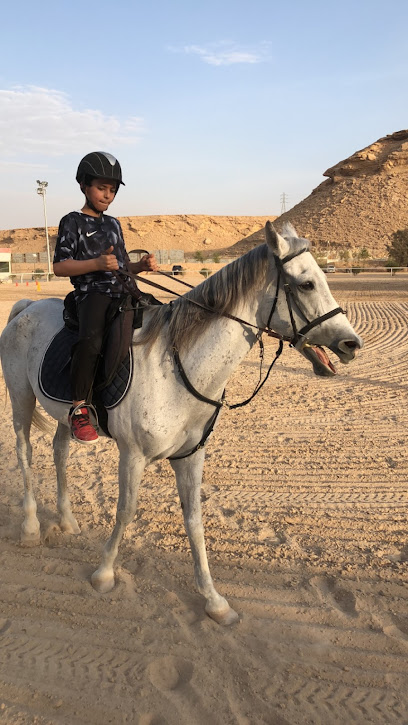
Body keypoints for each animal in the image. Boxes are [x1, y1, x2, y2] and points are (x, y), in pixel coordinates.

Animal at [0, 222, 362, 625]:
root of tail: (28, 306)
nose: (352, 343)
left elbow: (194, 519)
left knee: (60, 452)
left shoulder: (190, 456)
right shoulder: (133, 455)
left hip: (66, 414)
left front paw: (214, 600)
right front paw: (104, 573)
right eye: (307, 284)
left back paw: (66, 521)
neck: (176, 366)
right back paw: (31, 528)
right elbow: (125, 511)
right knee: (24, 452)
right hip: (21, 399)